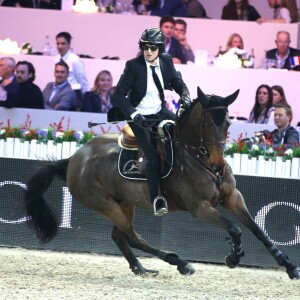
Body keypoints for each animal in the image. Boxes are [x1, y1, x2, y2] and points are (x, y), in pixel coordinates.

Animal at [24, 86, 300, 278]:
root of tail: (74, 158)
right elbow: (235, 229)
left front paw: (289, 266)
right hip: (105, 204)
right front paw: (234, 256)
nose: (218, 165)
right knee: (131, 236)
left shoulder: (233, 197)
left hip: (124, 203)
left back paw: (141, 269)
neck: (197, 158)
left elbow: (257, 229)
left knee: (120, 236)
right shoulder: (200, 208)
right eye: (208, 122)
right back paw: (180, 263)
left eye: (229, 122)